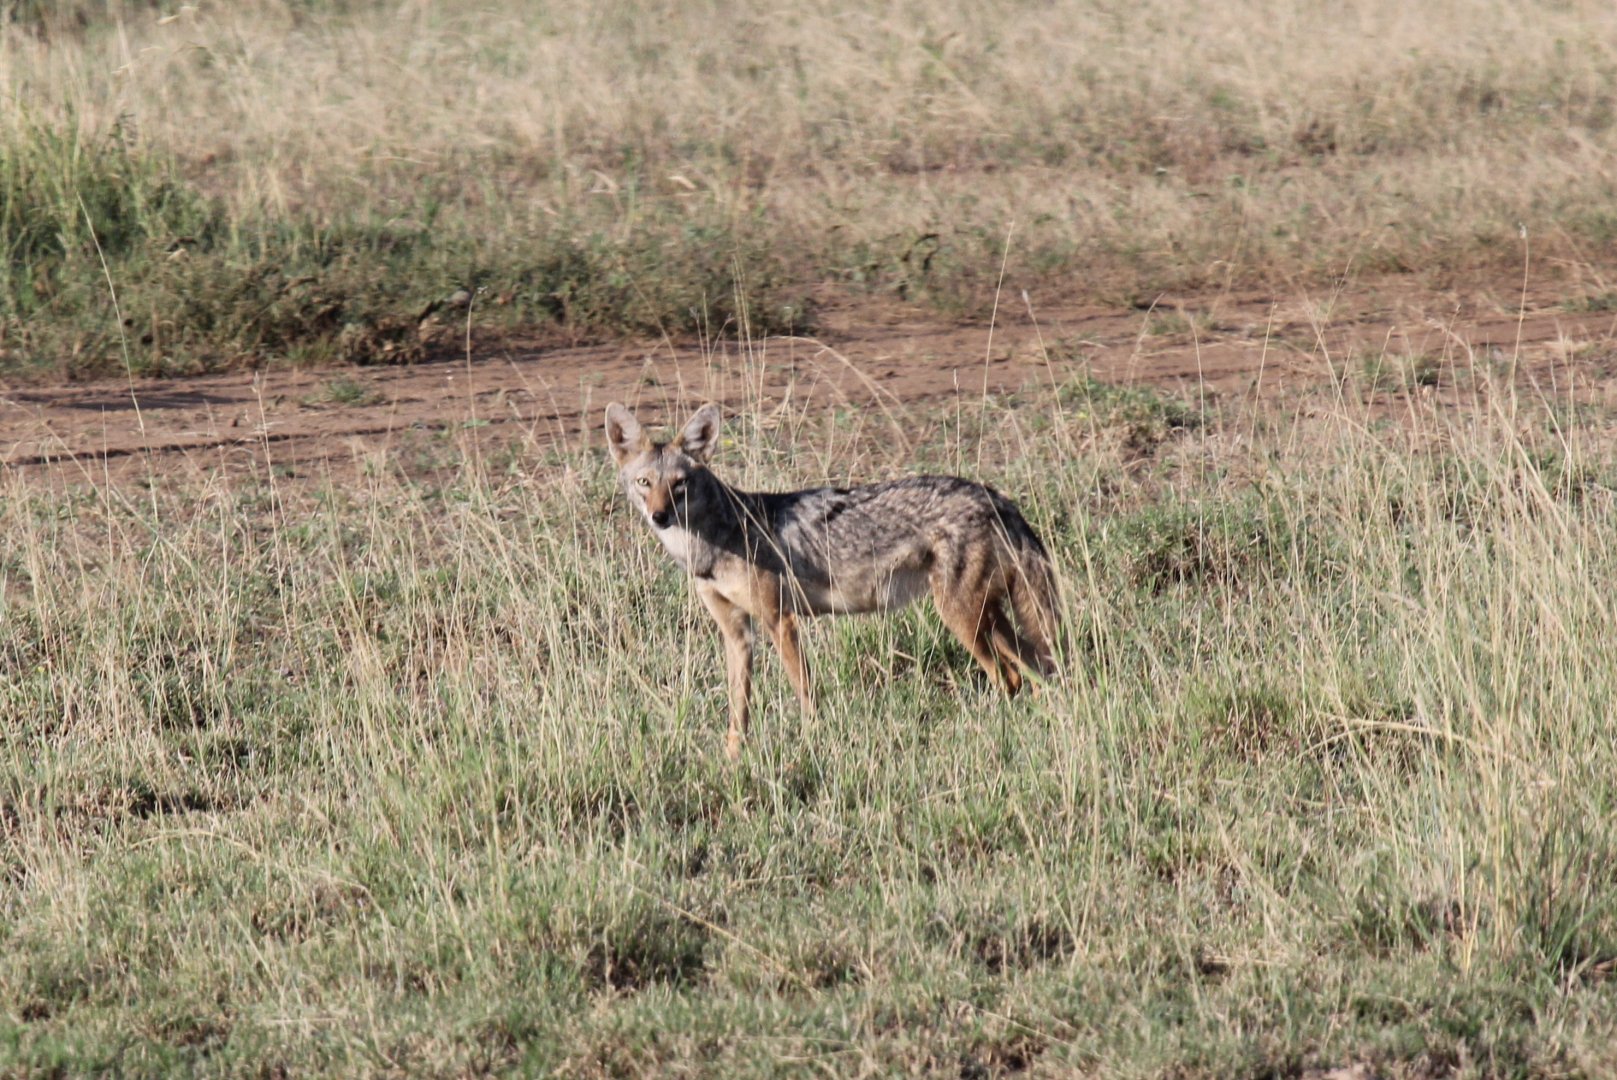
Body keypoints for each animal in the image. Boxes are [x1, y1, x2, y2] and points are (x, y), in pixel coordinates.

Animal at [605, 401, 1060, 758]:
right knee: (1035, 669)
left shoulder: (780, 622)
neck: (713, 543)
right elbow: (739, 709)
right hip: (985, 621)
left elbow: (805, 693)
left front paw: (812, 744)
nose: (659, 516)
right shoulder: (738, 634)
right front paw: (734, 759)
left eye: (679, 485)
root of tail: (994, 495)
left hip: (963, 619)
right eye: (645, 483)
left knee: (1011, 677)